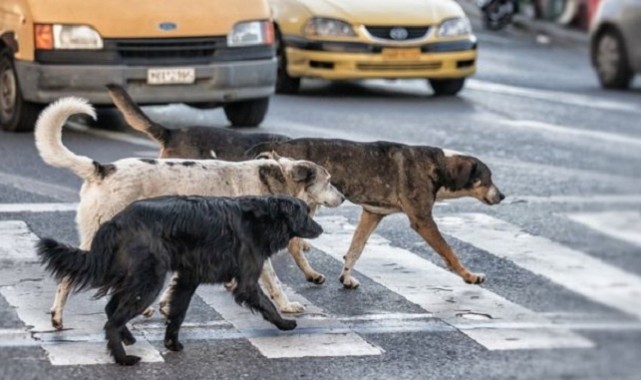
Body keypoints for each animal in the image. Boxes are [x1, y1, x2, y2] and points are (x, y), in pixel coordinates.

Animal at [35, 97, 344, 330]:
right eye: (329, 180)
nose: (343, 197)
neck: (274, 183)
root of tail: (102, 169)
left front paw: (164, 305)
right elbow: (275, 284)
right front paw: (287, 307)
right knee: (69, 275)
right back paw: (57, 317)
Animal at [37, 196, 322, 366]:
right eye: (306, 214)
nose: (321, 229)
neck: (264, 217)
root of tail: (115, 221)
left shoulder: (188, 278)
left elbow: (178, 313)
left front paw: (171, 344)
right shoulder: (247, 282)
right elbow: (268, 304)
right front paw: (284, 323)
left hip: (137, 278)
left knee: (111, 309)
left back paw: (128, 338)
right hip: (148, 281)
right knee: (112, 320)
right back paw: (122, 358)